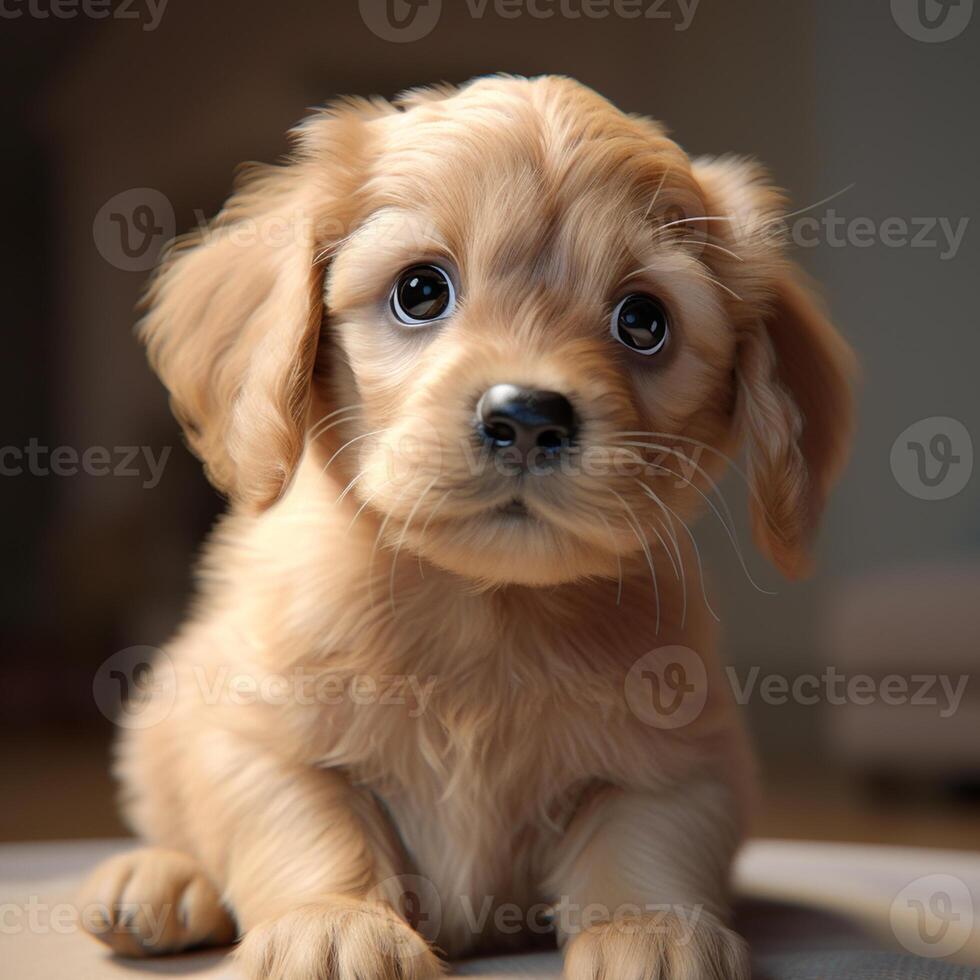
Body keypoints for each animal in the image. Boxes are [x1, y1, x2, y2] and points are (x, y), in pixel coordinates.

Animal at [80, 78, 852, 980]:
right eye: (420, 290)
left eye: (643, 320)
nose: (528, 416)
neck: (484, 606)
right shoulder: (246, 731)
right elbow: (310, 821)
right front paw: (334, 922)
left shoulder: (689, 759)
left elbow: (644, 836)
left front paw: (652, 929)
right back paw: (161, 879)